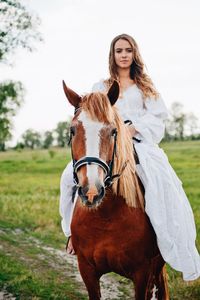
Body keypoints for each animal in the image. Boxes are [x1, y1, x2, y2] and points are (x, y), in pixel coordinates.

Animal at [62, 80, 169, 300]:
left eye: (113, 131)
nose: (91, 191)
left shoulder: (142, 274)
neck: (106, 216)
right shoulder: (86, 270)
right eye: (72, 130)